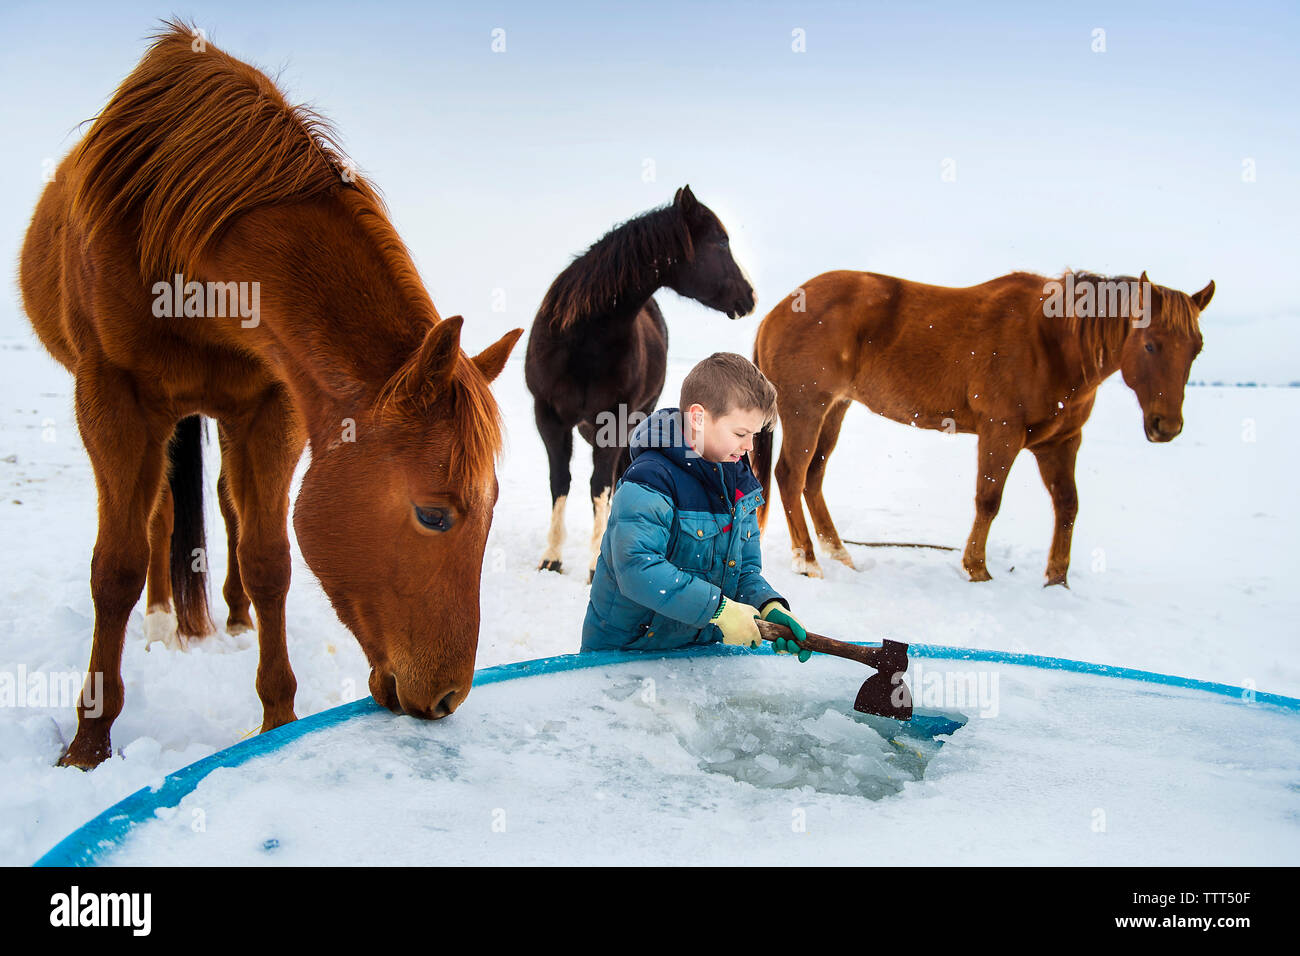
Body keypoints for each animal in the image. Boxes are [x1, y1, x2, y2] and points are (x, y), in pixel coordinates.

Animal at [16, 20, 522, 770]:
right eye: (434, 516)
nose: (447, 699)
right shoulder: (112, 400)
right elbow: (115, 568)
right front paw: (88, 744)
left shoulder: (272, 406)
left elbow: (268, 558)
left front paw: (278, 719)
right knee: (159, 519)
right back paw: (162, 623)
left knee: (227, 507)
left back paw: (231, 617)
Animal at [748, 265, 1211, 587]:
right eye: (1149, 344)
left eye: (1197, 348)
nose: (1167, 426)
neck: (1051, 343)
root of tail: (774, 315)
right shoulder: (1000, 431)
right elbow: (988, 500)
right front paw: (977, 569)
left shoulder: (1060, 443)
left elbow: (1068, 505)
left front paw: (1056, 579)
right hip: (807, 409)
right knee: (791, 476)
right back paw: (808, 561)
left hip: (835, 409)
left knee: (813, 477)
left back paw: (839, 553)